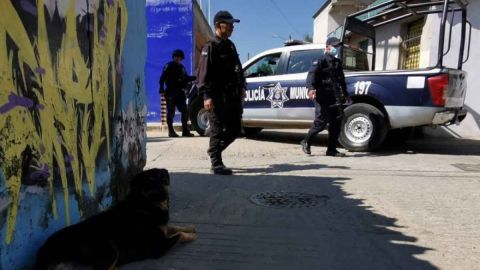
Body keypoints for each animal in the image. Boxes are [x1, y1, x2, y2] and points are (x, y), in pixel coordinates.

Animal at [34, 168, 197, 268]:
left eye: (163, 179)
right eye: (149, 183)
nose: (163, 195)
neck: (144, 205)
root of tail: (42, 253)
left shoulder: (162, 228)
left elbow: (173, 227)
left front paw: (190, 228)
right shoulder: (157, 247)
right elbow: (178, 234)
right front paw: (190, 236)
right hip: (109, 249)